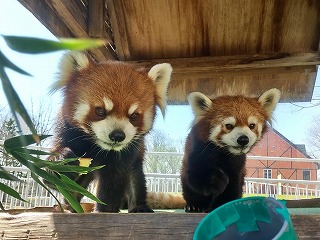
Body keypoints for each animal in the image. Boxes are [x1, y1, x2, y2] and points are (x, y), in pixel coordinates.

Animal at [49, 51, 172, 213]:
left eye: (134, 116)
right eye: (100, 110)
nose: (118, 135)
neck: (97, 146)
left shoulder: (127, 152)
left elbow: (115, 177)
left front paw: (104, 209)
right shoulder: (67, 131)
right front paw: (60, 162)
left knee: (135, 177)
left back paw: (138, 206)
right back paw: (69, 204)